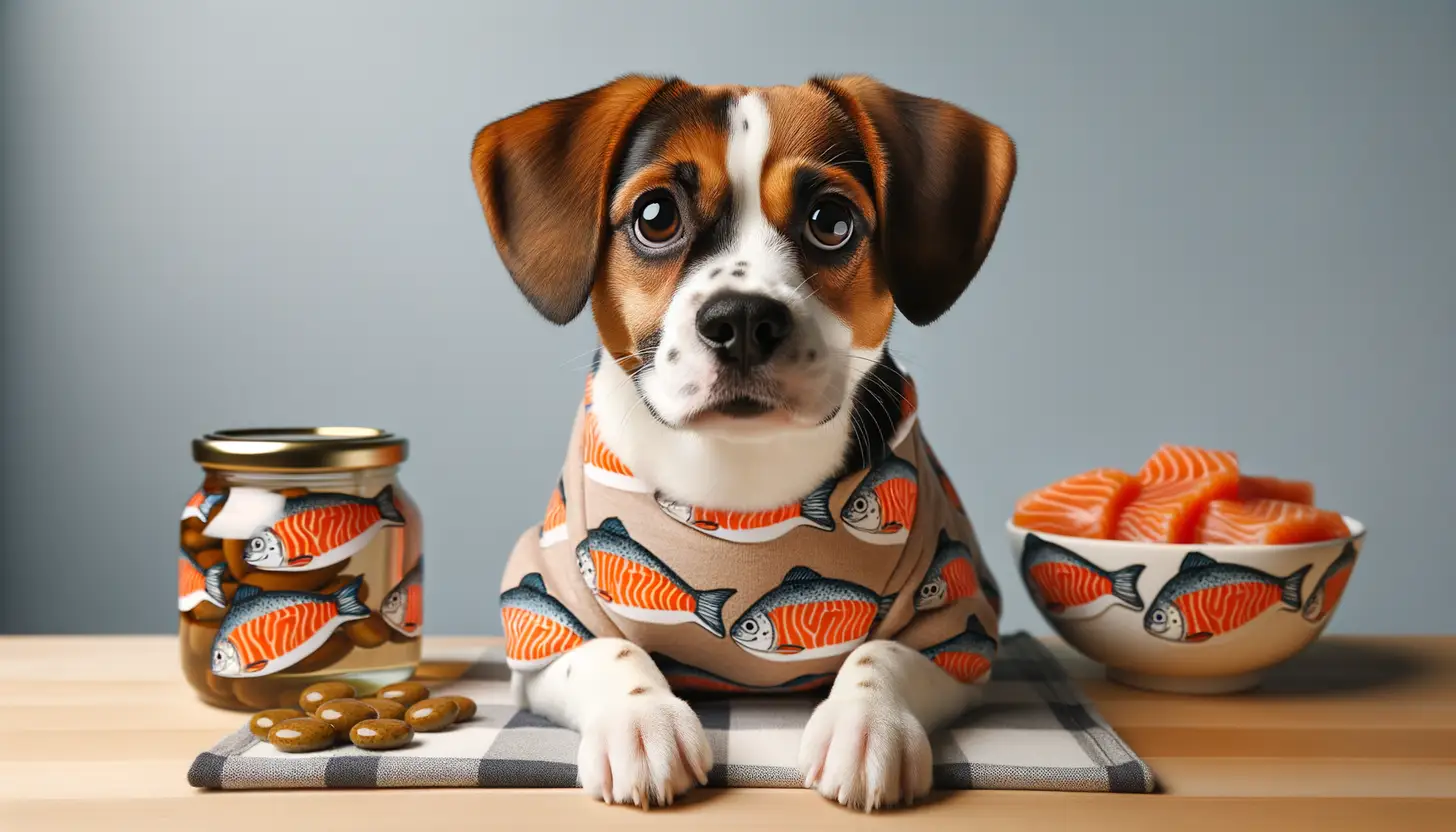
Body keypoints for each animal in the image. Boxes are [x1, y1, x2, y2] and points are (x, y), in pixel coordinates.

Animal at [471, 75, 1019, 810]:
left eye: (830, 220)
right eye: (655, 216)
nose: (743, 319)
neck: (739, 478)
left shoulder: (957, 623)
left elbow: (885, 653)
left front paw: (866, 723)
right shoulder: (546, 621)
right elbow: (610, 652)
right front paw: (642, 720)